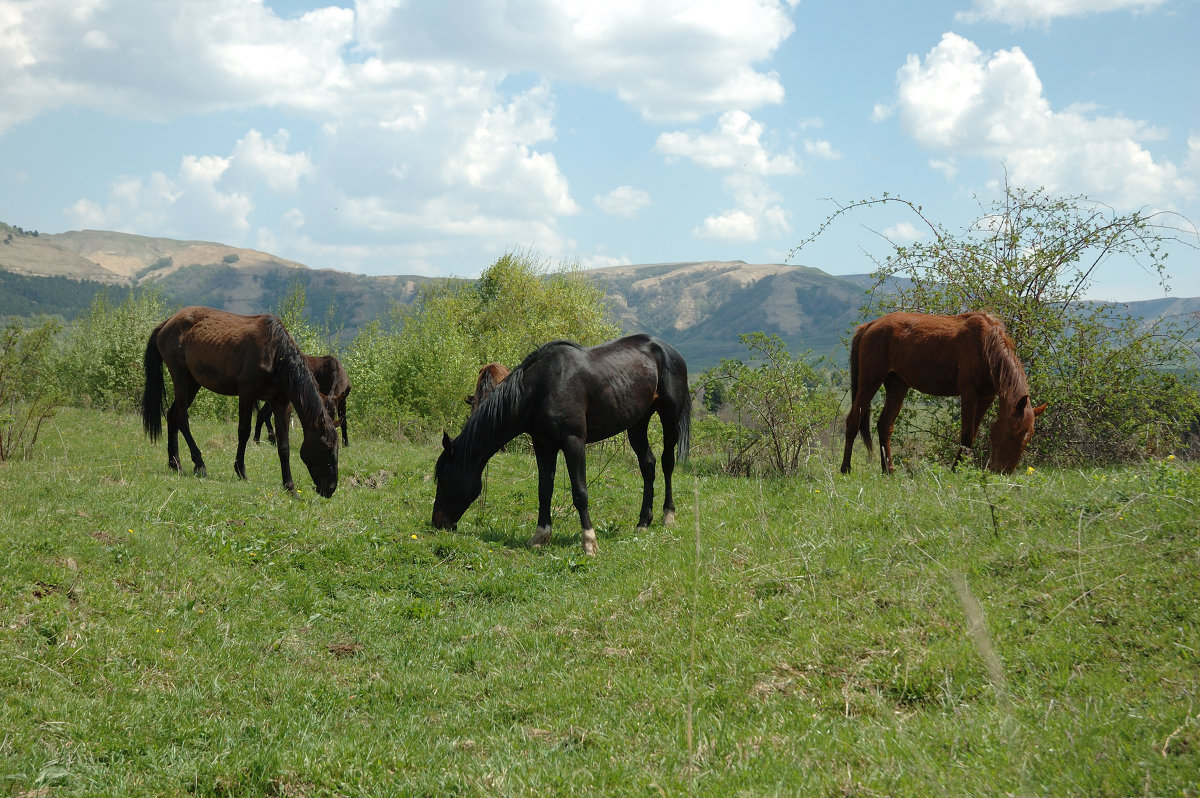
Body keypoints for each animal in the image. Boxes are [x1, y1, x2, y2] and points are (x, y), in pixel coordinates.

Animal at [146, 306, 343, 499]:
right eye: (325, 447)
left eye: (337, 447)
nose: (330, 488)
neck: (276, 354)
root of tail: (166, 323)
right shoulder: (247, 393)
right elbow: (244, 431)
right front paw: (240, 470)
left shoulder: (282, 403)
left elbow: (284, 445)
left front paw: (290, 487)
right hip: (180, 377)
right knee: (181, 418)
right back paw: (199, 464)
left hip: (193, 383)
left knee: (172, 415)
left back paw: (175, 463)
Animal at [432, 331, 696, 554]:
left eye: (444, 478)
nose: (437, 523)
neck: (539, 389)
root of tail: (669, 350)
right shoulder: (543, 445)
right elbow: (544, 490)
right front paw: (540, 536)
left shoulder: (573, 442)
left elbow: (580, 492)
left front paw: (589, 542)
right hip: (637, 422)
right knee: (648, 465)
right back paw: (643, 521)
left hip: (669, 417)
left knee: (667, 462)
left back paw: (668, 515)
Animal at [840, 309, 1046, 472]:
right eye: (1013, 434)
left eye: (1027, 438)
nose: (1002, 472)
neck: (986, 346)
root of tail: (870, 326)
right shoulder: (969, 393)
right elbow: (967, 435)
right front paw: (956, 470)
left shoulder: (986, 397)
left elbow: (973, 433)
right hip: (870, 381)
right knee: (853, 420)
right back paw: (845, 468)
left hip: (897, 385)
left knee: (885, 425)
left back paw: (888, 470)